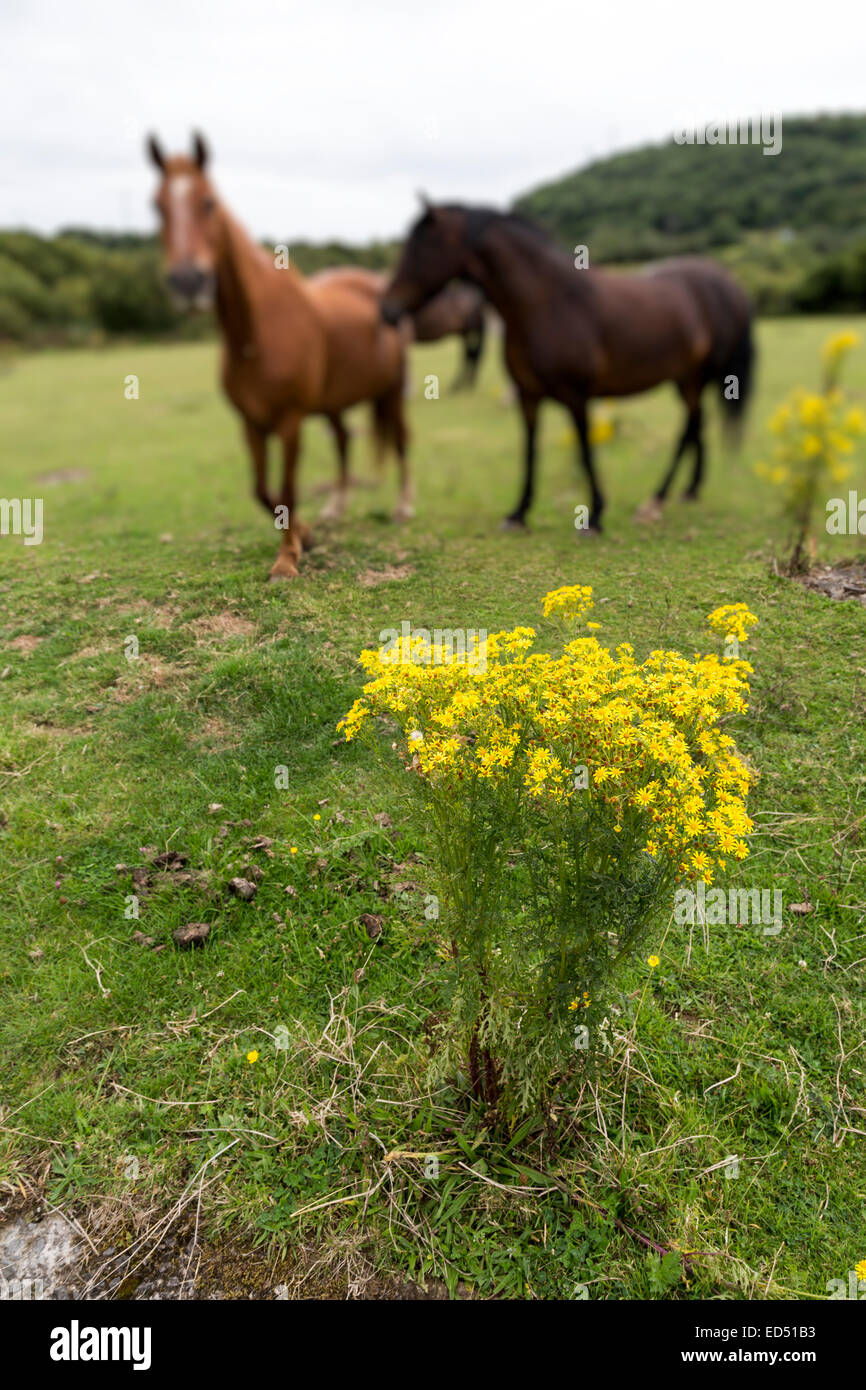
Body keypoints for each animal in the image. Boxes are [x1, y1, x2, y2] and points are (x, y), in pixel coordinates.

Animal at [148, 132, 414, 578]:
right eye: (157, 206)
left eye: (208, 201)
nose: (188, 282)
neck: (255, 334)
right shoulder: (251, 424)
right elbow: (261, 490)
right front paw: (305, 533)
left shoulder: (291, 421)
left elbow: (287, 488)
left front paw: (287, 559)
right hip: (332, 402)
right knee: (344, 439)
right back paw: (335, 507)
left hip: (392, 392)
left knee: (401, 438)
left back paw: (403, 507)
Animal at [378, 201, 750, 530]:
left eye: (423, 246)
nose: (387, 309)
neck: (548, 304)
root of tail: (723, 282)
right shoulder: (527, 396)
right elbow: (530, 451)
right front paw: (519, 513)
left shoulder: (577, 396)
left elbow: (585, 451)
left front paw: (595, 515)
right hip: (685, 378)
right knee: (697, 424)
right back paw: (689, 490)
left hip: (697, 377)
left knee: (688, 428)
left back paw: (655, 500)